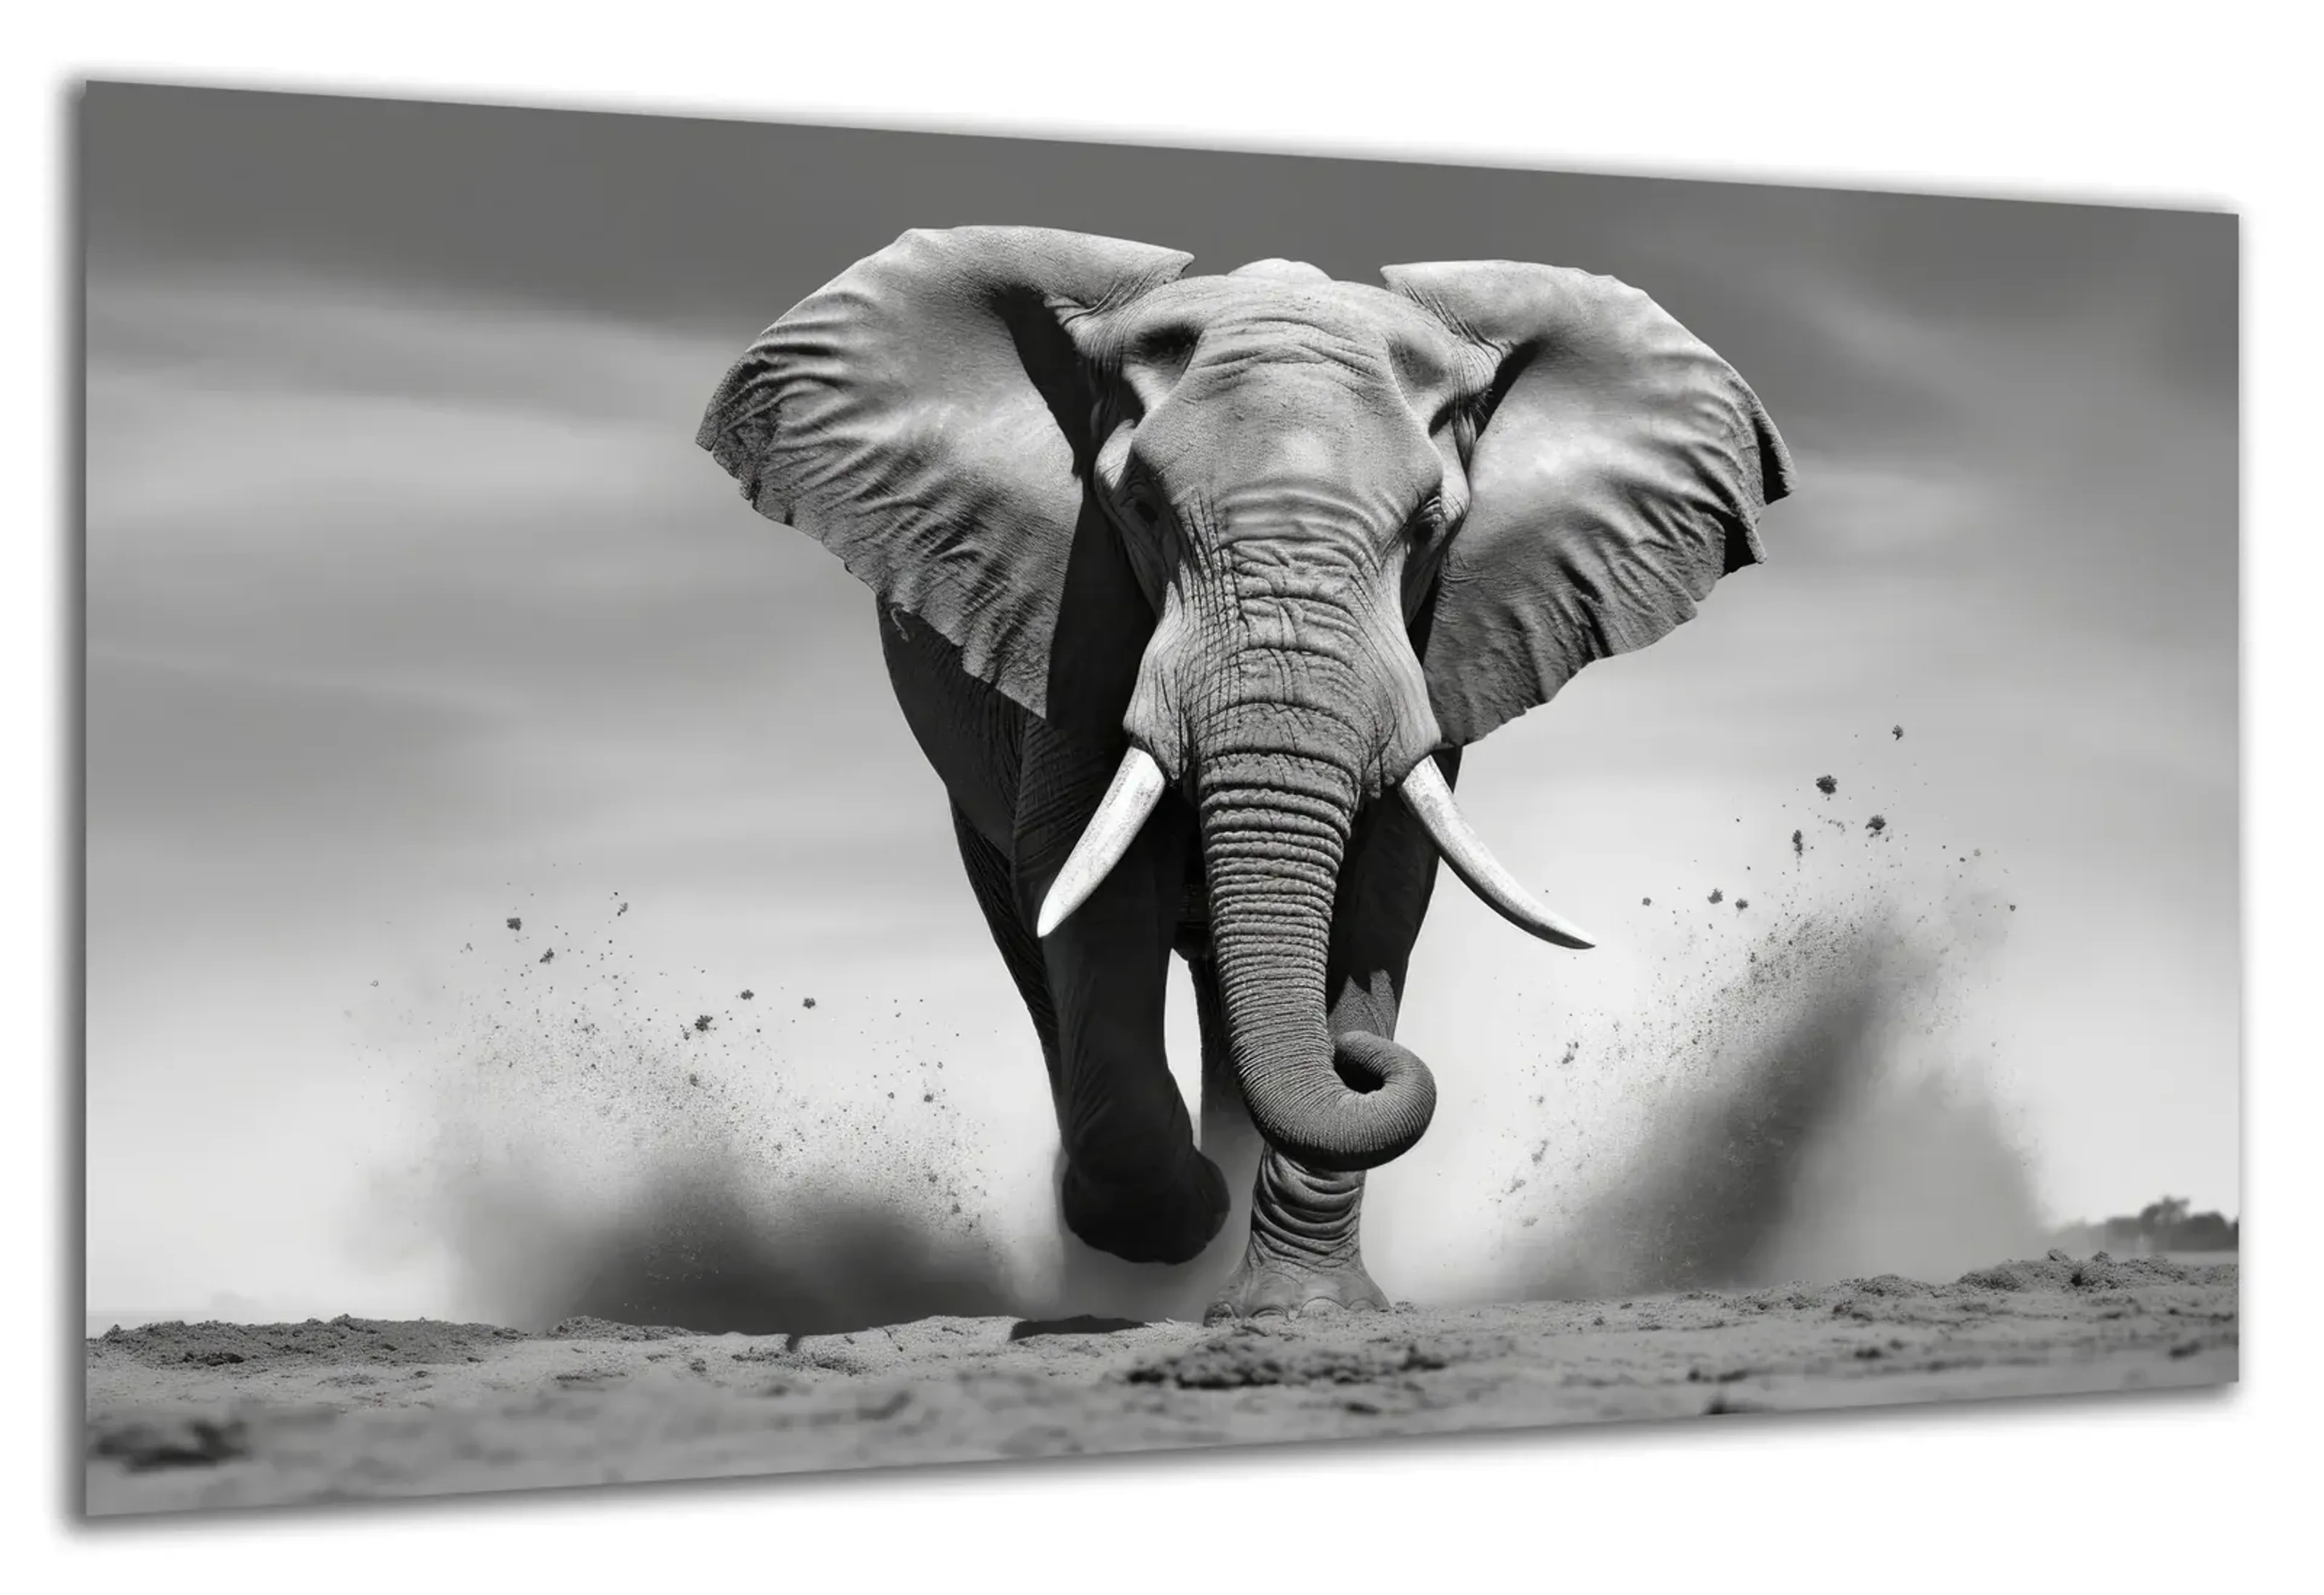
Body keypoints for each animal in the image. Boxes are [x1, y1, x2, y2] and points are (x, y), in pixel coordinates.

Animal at [697, 227, 1791, 1320]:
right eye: (1139, 509)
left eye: (1429, 527)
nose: (1359, 1066)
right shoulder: (1074, 614)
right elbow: (1092, 884)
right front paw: (1184, 1216)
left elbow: (1378, 896)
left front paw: (1300, 1308)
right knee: (1034, 935)